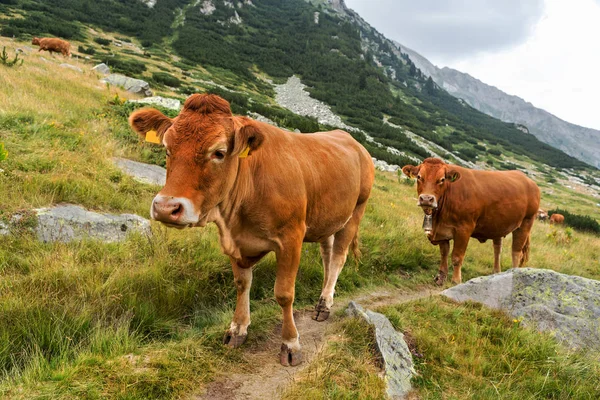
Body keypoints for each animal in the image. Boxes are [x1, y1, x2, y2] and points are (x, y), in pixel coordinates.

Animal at [404, 158, 540, 286]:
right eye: (419, 177)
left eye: (442, 179)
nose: (426, 199)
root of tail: (530, 182)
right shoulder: (442, 231)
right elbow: (444, 253)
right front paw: (440, 278)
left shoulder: (464, 229)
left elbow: (457, 257)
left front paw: (456, 280)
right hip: (498, 225)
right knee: (498, 249)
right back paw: (496, 272)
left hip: (526, 223)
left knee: (516, 252)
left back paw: (513, 273)